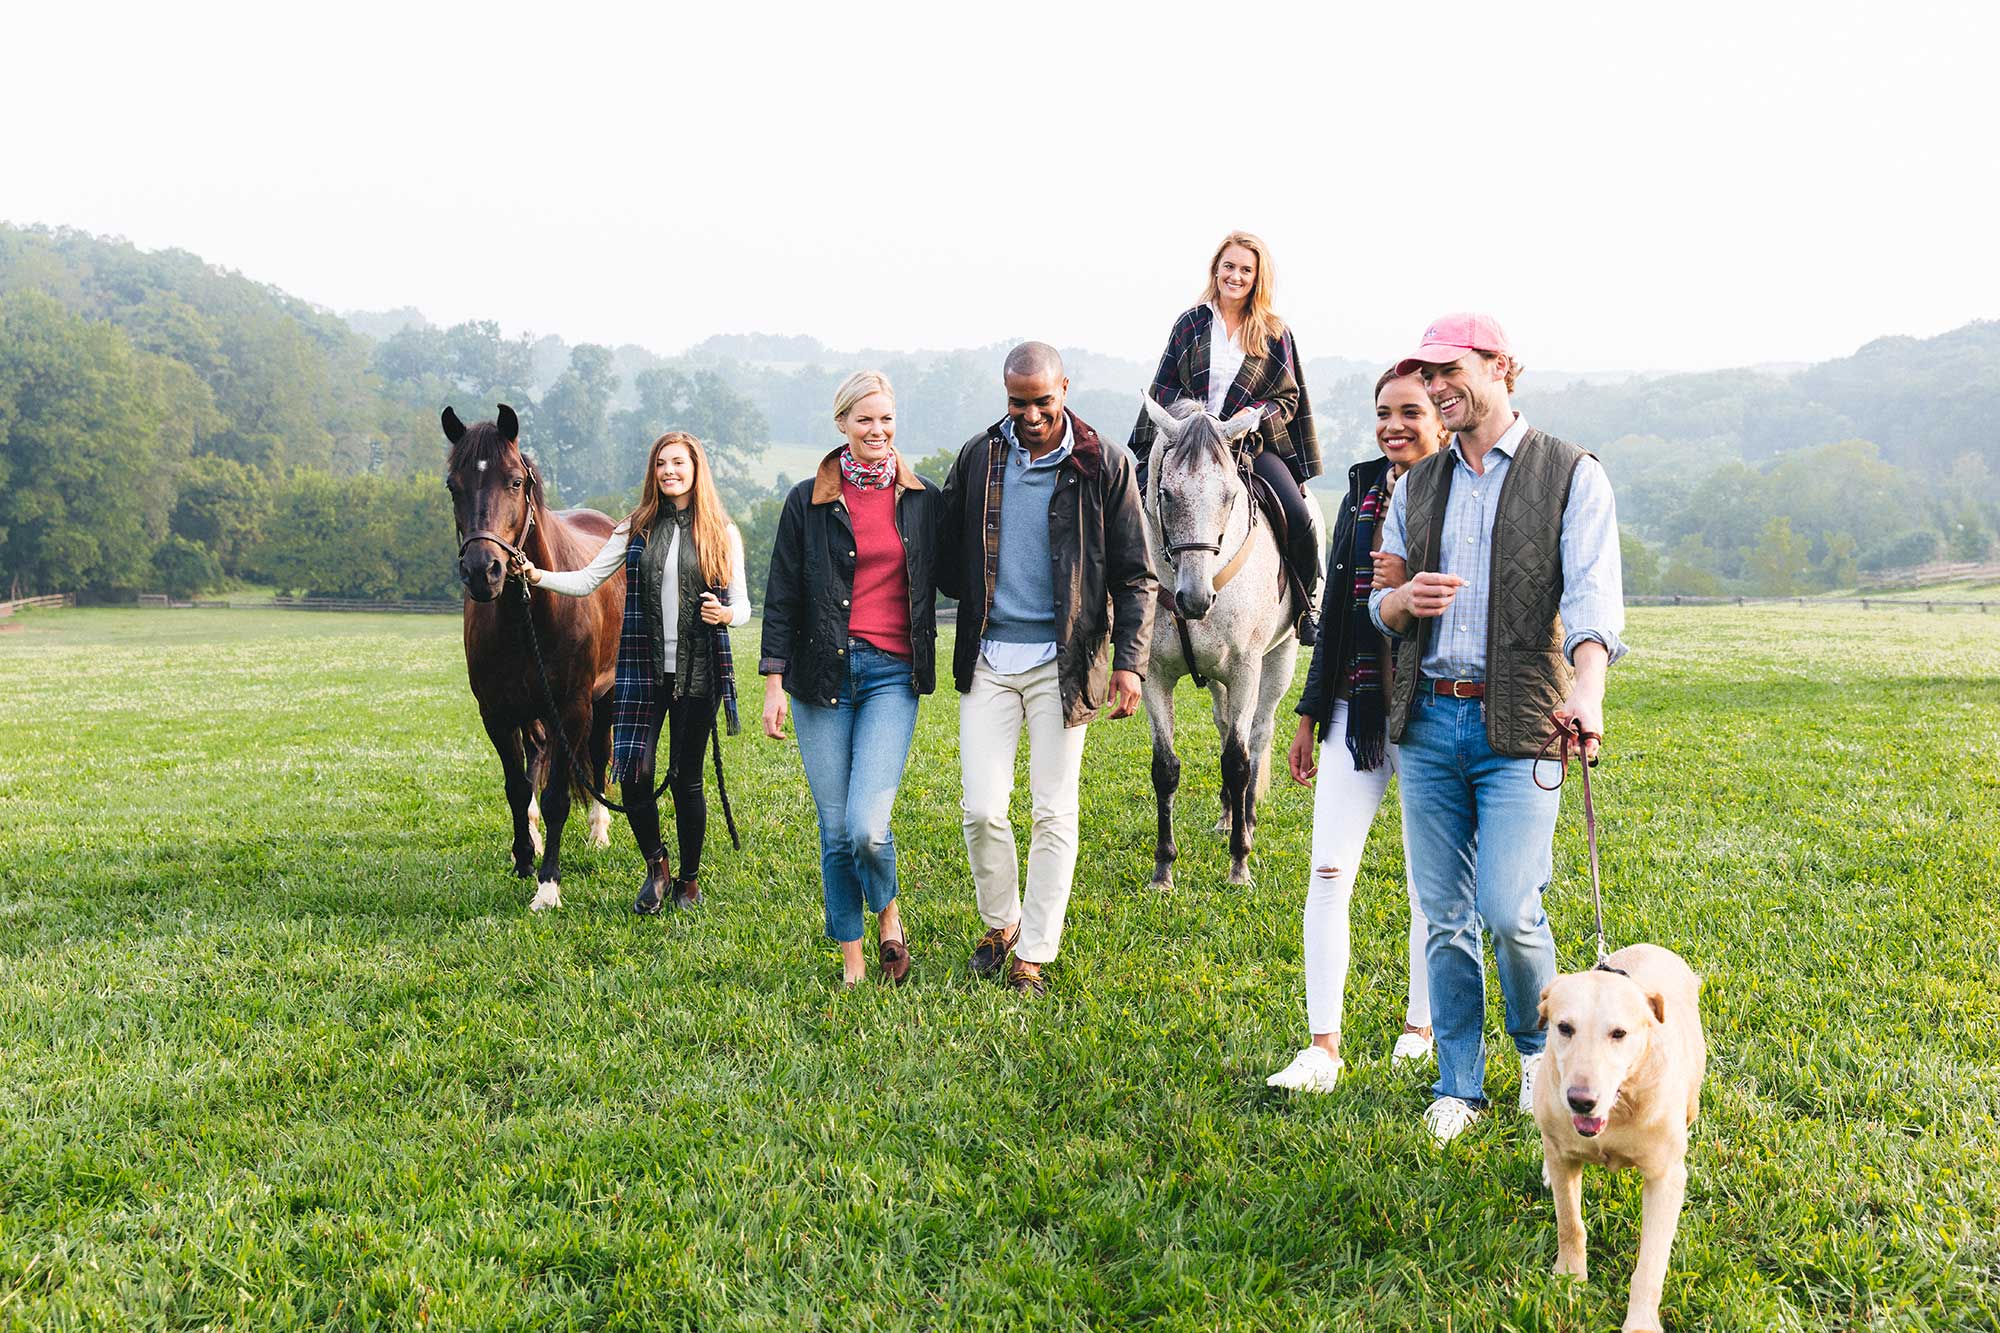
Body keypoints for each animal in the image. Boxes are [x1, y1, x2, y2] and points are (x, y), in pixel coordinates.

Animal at [444, 404, 619, 912]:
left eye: (515, 481)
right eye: (453, 484)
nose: (482, 570)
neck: (531, 612)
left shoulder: (572, 708)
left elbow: (560, 793)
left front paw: (548, 886)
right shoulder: (497, 713)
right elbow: (517, 787)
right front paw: (524, 857)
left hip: (604, 698)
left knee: (598, 758)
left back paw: (598, 832)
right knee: (537, 757)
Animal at [1138, 394, 1318, 887]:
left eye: (1230, 495)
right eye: (1166, 494)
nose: (1196, 599)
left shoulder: (1244, 670)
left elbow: (1238, 763)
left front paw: (1240, 864)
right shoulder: (1154, 676)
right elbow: (1165, 768)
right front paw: (1163, 869)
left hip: (1279, 659)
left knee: (1256, 734)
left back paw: (1247, 820)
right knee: (1223, 728)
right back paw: (1225, 818)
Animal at [1534, 943, 1707, 1333]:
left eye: (1619, 1034)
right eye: (1564, 1027)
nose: (1581, 1100)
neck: (1618, 1108)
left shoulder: (1665, 1178)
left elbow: (1651, 1263)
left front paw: (1641, 1321)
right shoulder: (1565, 1157)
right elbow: (1570, 1224)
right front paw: (1569, 1280)